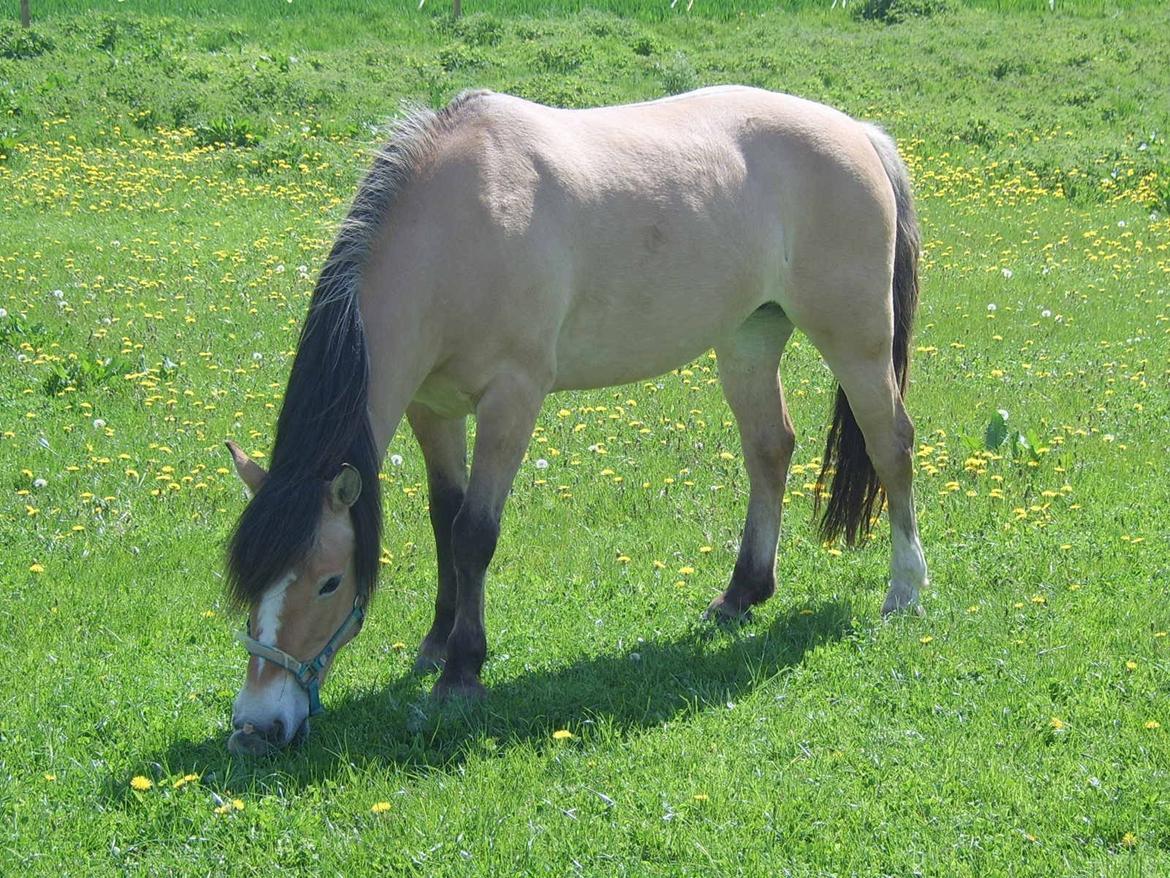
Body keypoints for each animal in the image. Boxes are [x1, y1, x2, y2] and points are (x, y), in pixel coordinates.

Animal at [223, 87, 926, 758]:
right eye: (249, 581)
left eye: (328, 582)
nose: (256, 728)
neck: (457, 228)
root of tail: (860, 133)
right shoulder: (433, 409)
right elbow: (444, 520)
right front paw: (437, 641)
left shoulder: (512, 399)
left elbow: (474, 533)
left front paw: (462, 672)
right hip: (749, 339)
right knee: (769, 450)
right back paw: (741, 594)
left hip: (855, 341)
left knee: (891, 445)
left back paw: (905, 591)